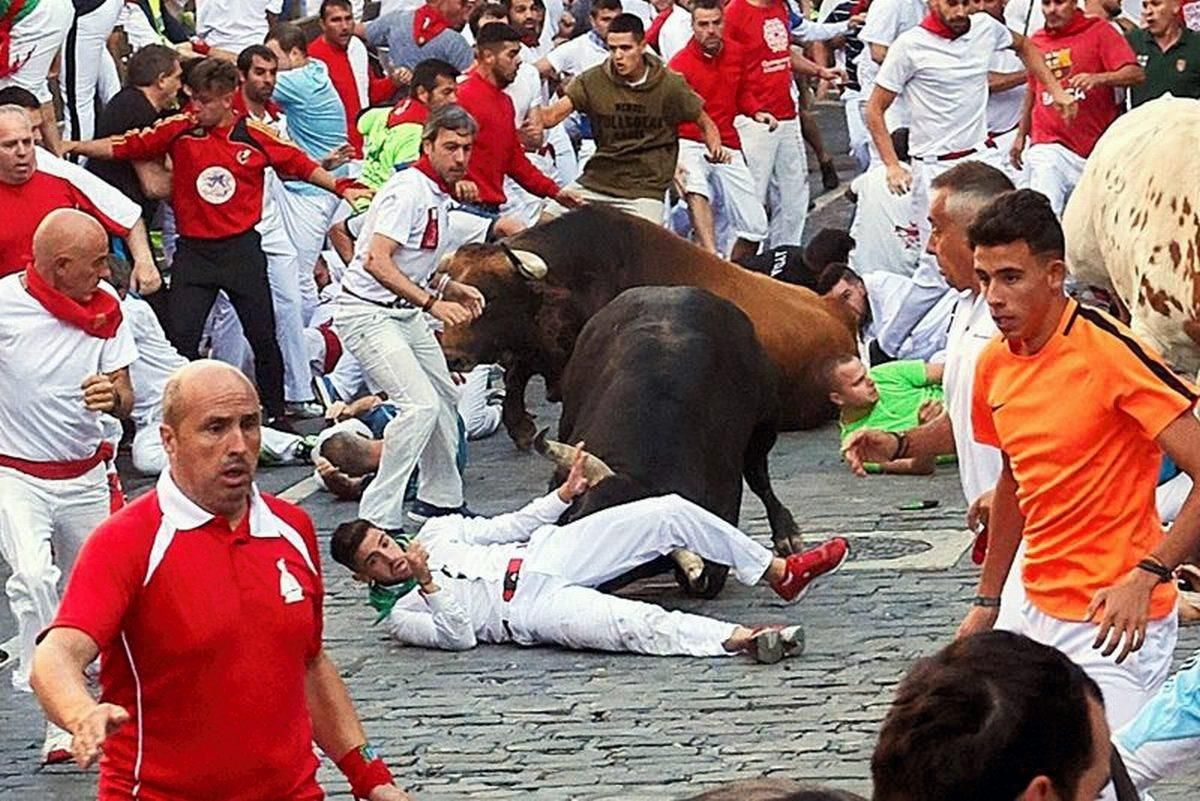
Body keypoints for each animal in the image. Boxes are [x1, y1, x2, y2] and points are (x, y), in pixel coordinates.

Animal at [436, 203, 859, 448]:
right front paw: (521, 427)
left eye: (490, 297)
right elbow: (517, 372)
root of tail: (835, 311)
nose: (449, 353)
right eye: (448, 289)